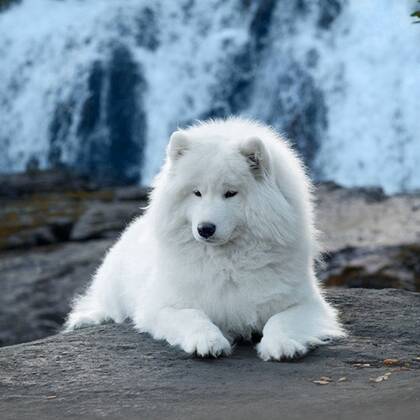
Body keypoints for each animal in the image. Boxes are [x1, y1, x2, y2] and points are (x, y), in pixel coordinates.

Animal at [65, 116, 346, 360]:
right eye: (197, 193)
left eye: (230, 193)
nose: (205, 229)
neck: (227, 262)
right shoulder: (161, 305)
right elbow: (192, 316)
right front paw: (208, 341)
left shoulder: (306, 303)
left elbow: (281, 320)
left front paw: (282, 343)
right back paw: (88, 319)